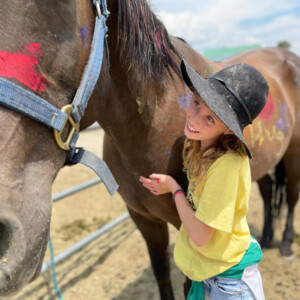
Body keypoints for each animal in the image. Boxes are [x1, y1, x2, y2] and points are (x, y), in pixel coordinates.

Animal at [0, 1, 298, 298]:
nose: (5, 235)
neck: (153, 122)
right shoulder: (144, 220)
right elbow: (161, 272)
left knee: (292, 198)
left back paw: (284, 245)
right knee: (268, 193)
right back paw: (267, 237)